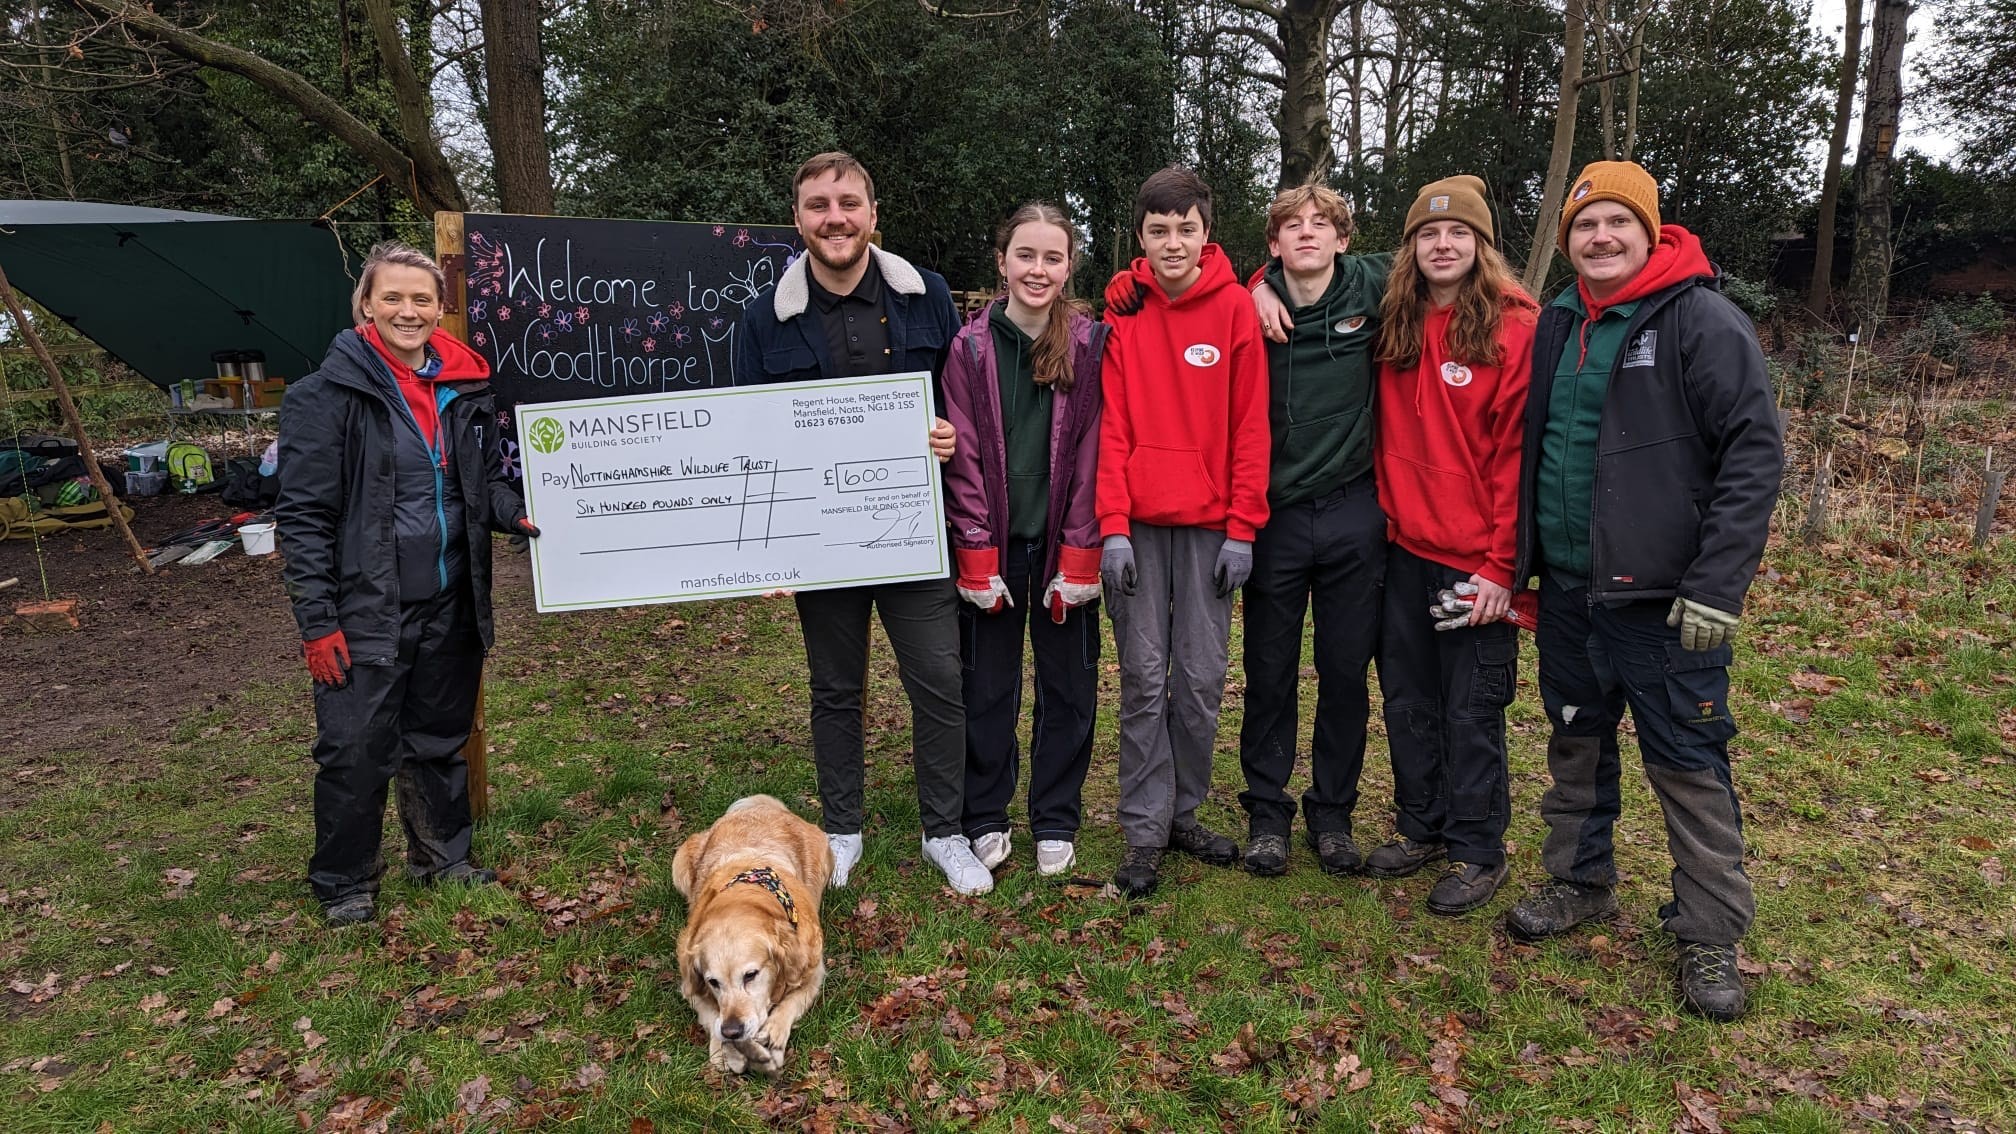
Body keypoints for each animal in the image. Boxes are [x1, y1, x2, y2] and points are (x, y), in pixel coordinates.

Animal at [673, 790, 830, 1073]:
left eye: (751, 975)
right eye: (713, 982)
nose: (733, 1031)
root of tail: (761, 806)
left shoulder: (814, 970)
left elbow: (792, 1001)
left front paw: (774, 1029)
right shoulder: (688, 984)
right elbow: (711, 1014)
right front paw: (725, 1050)